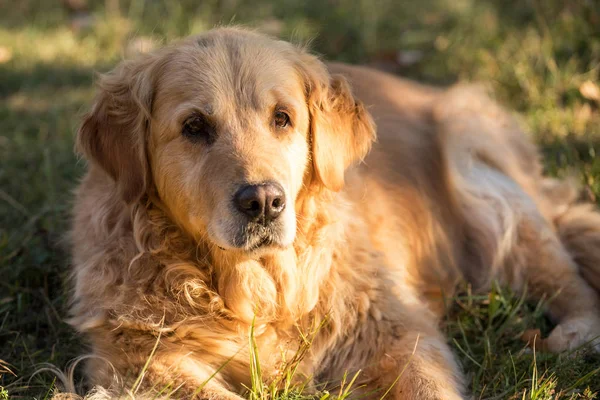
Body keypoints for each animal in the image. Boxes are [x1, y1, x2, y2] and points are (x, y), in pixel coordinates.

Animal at [70, 26, 600, 398]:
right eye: (194, 127)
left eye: (282, 118)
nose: (263, 201)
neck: (258, 287)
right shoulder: (138, 359)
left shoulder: (396, 330)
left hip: (473, 157)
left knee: (565, 276)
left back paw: (574, 334)